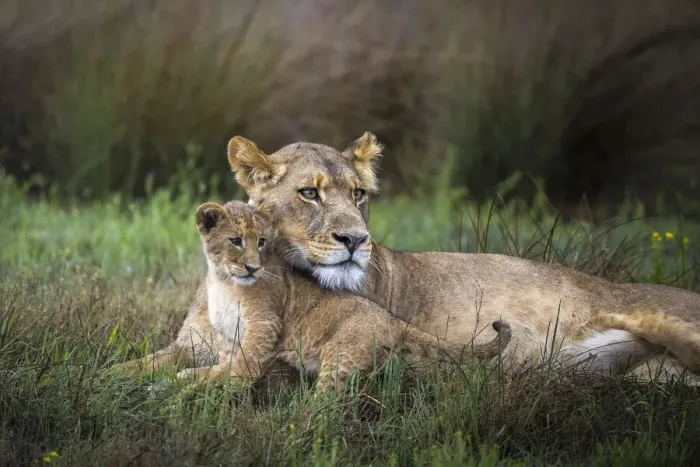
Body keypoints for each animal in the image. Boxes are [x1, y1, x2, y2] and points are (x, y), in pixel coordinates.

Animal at [114, 200, 512, 394]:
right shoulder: (219, 342)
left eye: (262, 242)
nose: (253, 267)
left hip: (340, 356)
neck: (222, 282)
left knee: (329, 408)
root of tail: (390, 319)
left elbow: (241, 370)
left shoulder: (264, 326)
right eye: (235, 241)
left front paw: (186, 384)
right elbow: (154, 365)